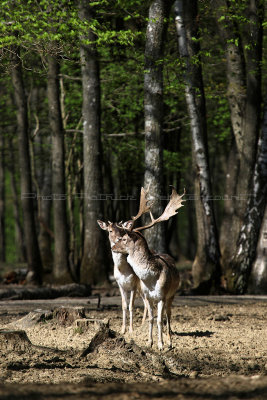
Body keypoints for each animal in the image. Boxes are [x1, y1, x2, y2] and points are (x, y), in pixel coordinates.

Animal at [112, 188, 185, 350]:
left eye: (124, 239)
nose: (113, 247)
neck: (150, 279)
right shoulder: (147, 296)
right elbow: (152, 319)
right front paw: (149, 342)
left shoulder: (162, 296)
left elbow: (159, 320)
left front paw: (161, 345)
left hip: (172, 294)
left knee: (168, 315)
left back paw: (169, 340)